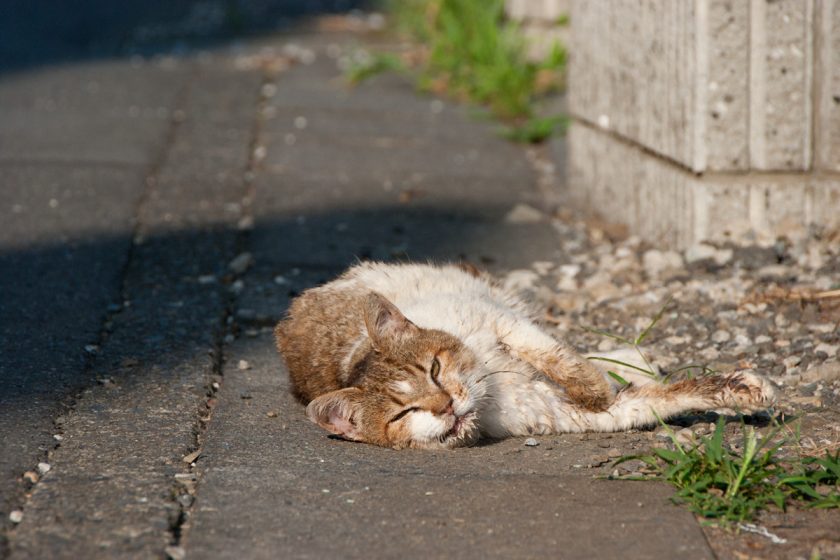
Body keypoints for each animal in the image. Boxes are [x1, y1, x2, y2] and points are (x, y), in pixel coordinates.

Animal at [274, 262, 776, 450]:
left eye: (433, 370)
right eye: (405, 413)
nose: (446, 405)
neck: (493, 394)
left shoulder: (499, 321)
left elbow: (553, 354)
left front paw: (594, 382)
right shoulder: (566, 415)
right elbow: (657, 400)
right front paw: (737, 390)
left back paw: (621, 360)